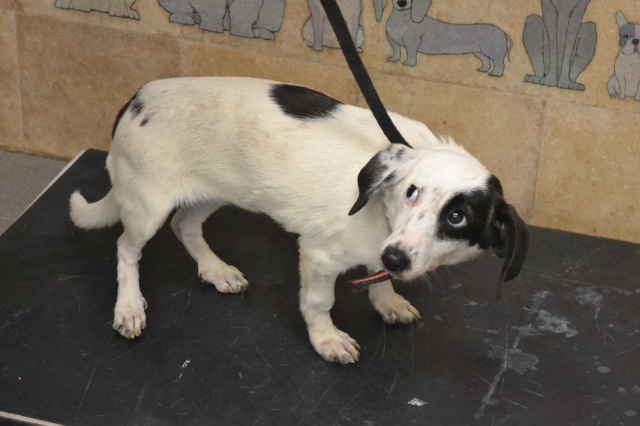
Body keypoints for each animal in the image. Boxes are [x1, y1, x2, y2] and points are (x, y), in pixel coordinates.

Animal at [70, 77, 528, 364]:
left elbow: (378, 277)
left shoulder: (383, 250)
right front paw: (326, 339)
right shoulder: (319, 255)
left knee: (184, 225)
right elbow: (318, 302)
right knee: (126, 249)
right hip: (146, 206)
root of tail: (134, 101)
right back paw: (129, 306)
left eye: (457, 218)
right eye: (411, 191)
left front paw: (388, 300)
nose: (397, 258)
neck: (381, 209)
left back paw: (216, 270)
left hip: (213, 193)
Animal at [374, 0, 512, 76]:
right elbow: (396, 51)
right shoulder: (392, 41)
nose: (401, 3)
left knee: (499, 63)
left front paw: (409, 63)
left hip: (493, 51)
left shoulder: (412, 42)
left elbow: (411, 53)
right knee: (486, 61)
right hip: (478, 52)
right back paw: (483, 69)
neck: (402, 20)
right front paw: (393, 59)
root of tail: (503, 32)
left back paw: (496, 74)